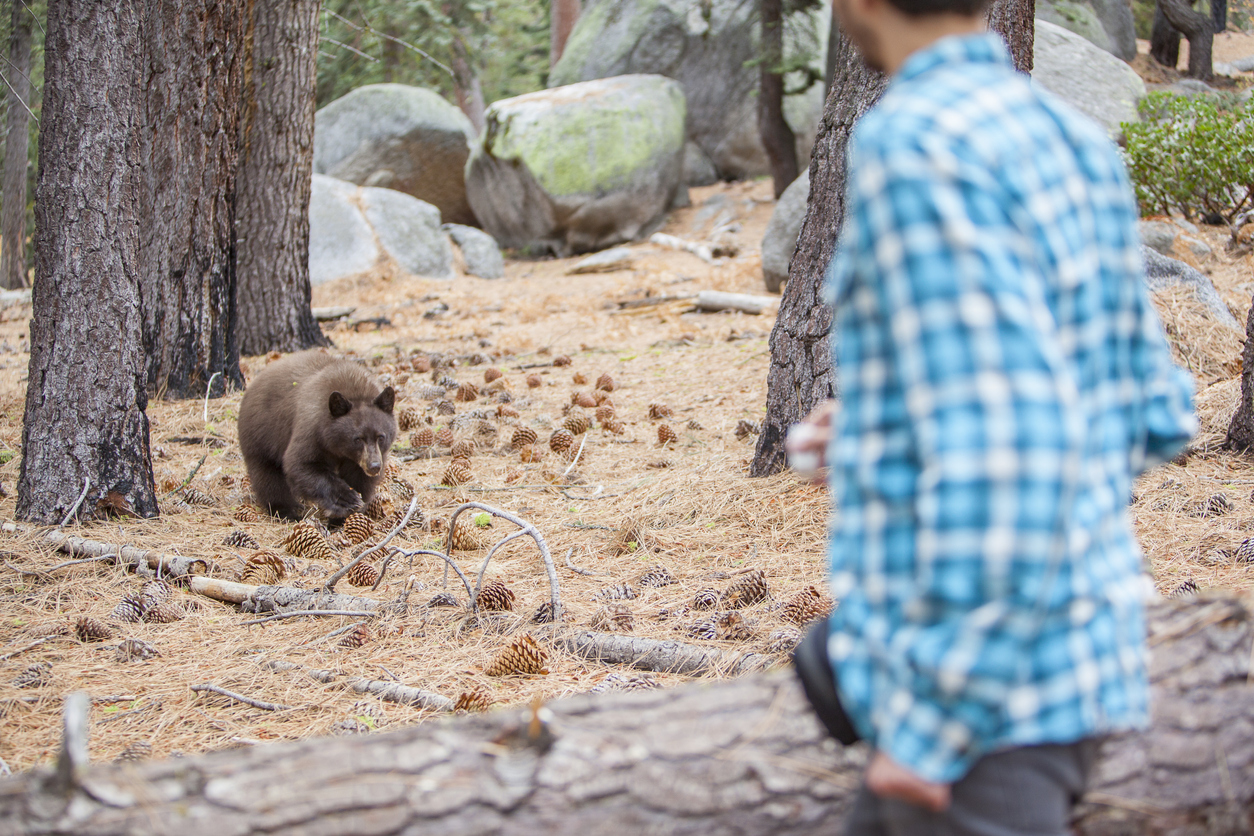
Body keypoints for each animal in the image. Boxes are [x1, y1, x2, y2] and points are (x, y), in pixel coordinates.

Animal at [235, 350, 391, 518]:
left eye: (381, 437)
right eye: (357, 439)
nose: (374, 466)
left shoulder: (362, 458)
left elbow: (359, 478)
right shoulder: (312, 428)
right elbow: (301, 464)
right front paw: (346, 499)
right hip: (261, 435)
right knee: (268, 477)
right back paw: (287, 511)